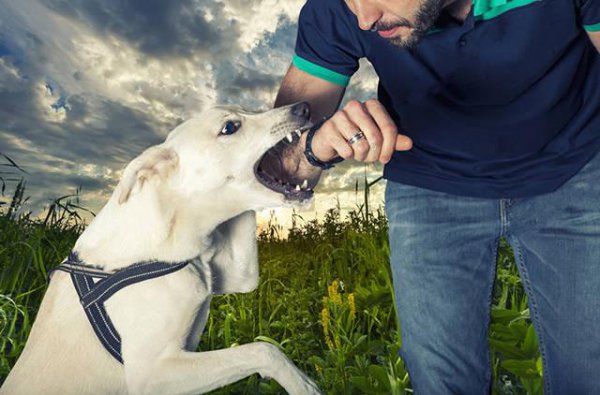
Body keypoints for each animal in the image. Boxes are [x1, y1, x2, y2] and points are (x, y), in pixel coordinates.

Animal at [1, 103, 324, 395]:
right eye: (230, 126)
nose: (305, 107)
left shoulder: (237, 276)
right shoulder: (154, 374)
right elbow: (262, 350)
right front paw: (303, 384)